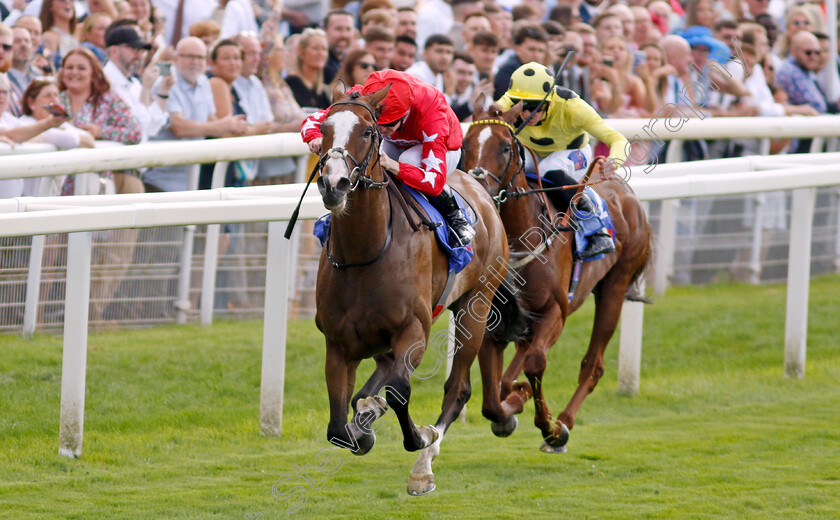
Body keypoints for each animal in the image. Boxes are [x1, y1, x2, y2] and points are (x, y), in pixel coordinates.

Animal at [312, 87, 516, 494]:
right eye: (325, 127)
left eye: (367, 132)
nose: (333, 184)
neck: (365, 253)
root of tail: (480, 187)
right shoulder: (338, 343)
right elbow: (337, 427)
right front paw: (362, 426)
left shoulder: (414, 330)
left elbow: (399, 391)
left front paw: (421, 437)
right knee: (378, 377)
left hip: (476, 305)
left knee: (457, 388)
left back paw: (425, 463)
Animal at [462, 101, 652, 450]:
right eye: (465, 144)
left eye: (506, 147)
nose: (478, 186)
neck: (521, 237)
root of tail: (624, 189)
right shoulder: (495, 319)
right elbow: (492, 401)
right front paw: (511, 406)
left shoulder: (556, 311)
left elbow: (536, 363)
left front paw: (549, 427)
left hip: (614, 288)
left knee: (593, 364)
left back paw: (564, 420)